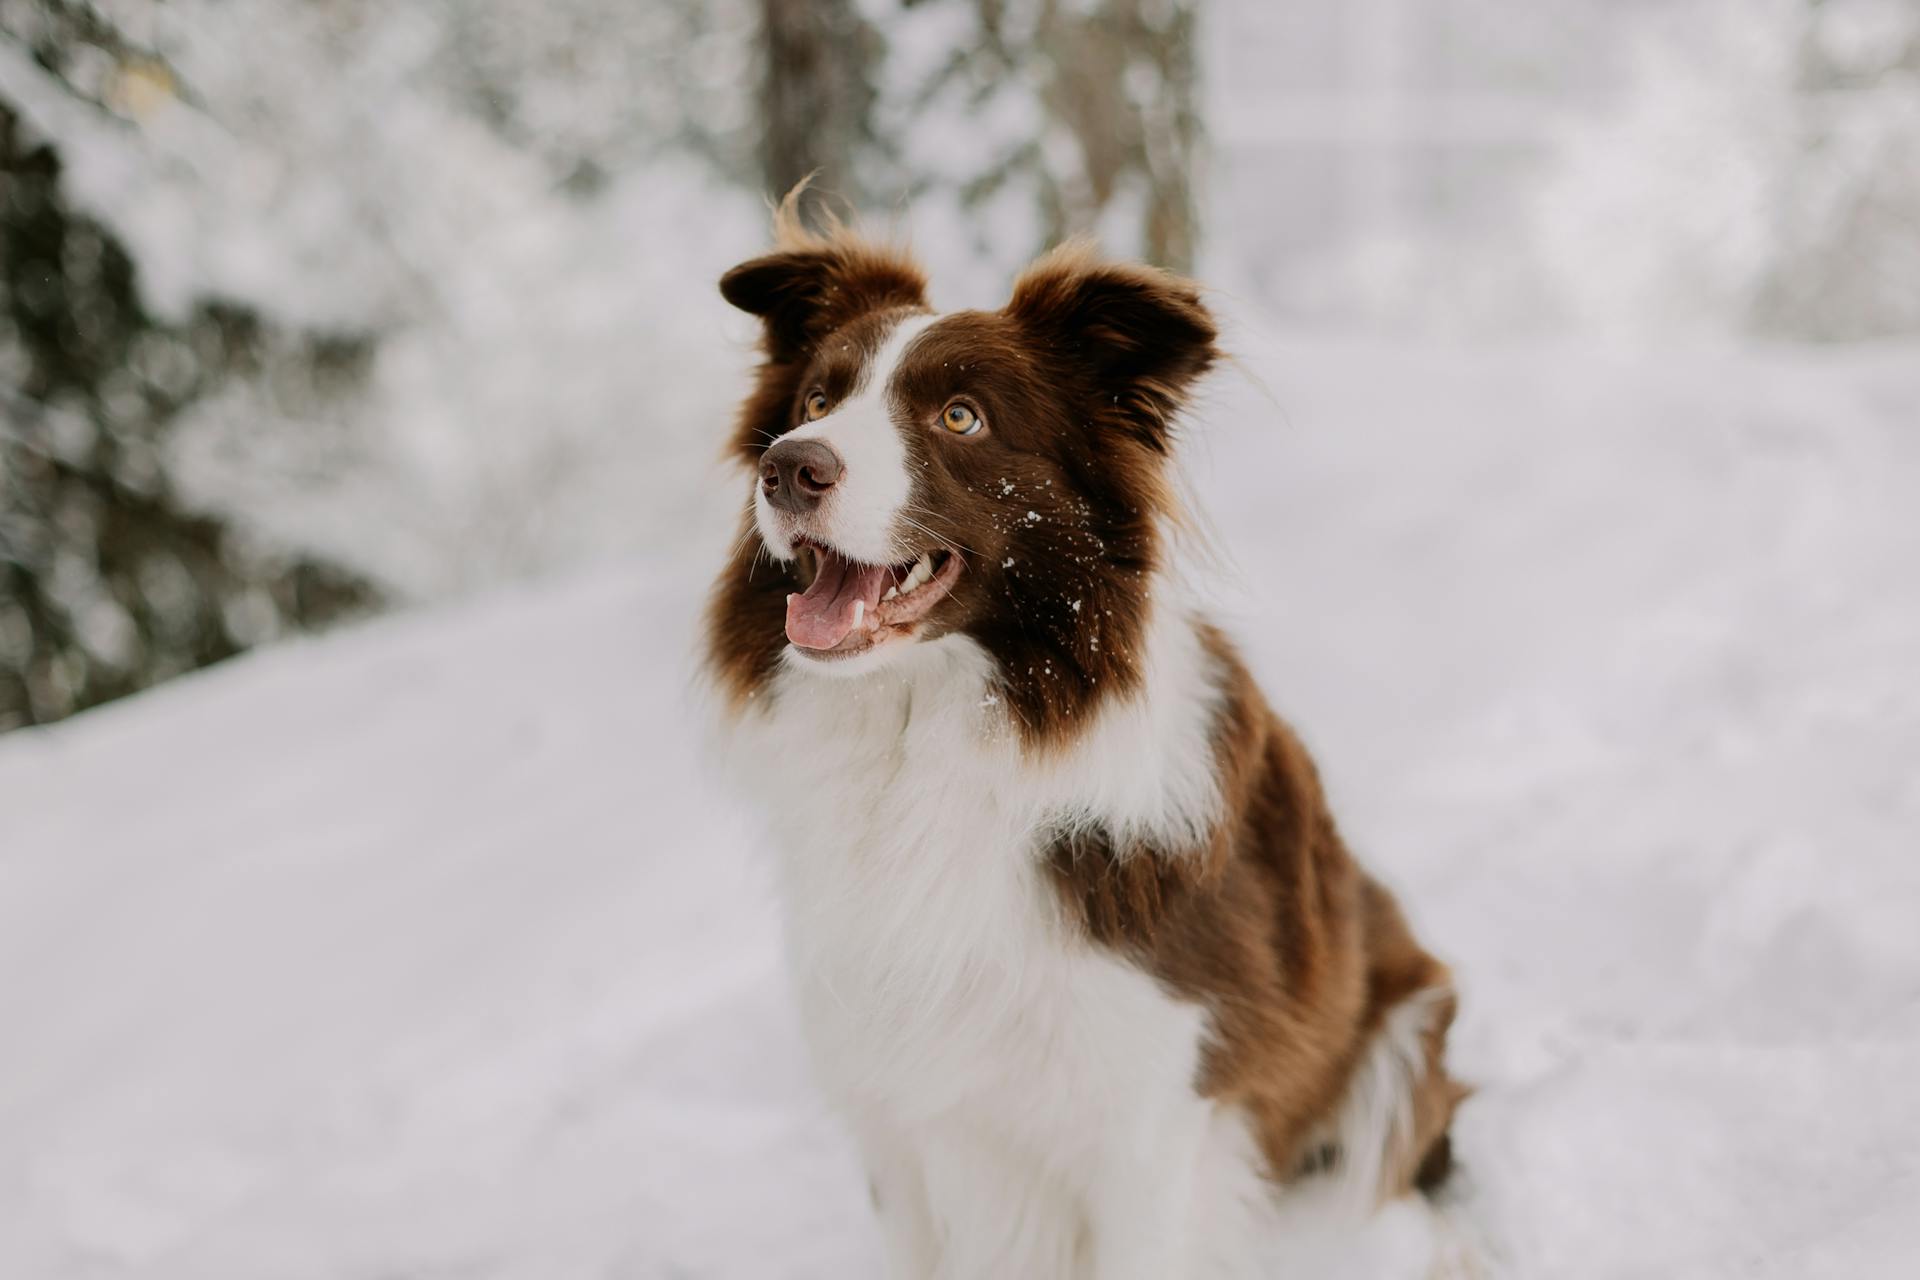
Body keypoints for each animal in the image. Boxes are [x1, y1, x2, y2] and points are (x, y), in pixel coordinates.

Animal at [706, 205, 1466, 1274]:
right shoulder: (891, 1111)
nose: (789, 466)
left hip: (1400, 1042)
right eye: (819, 395)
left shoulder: (1148, 1119)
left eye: (961, 418)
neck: (928, 744)